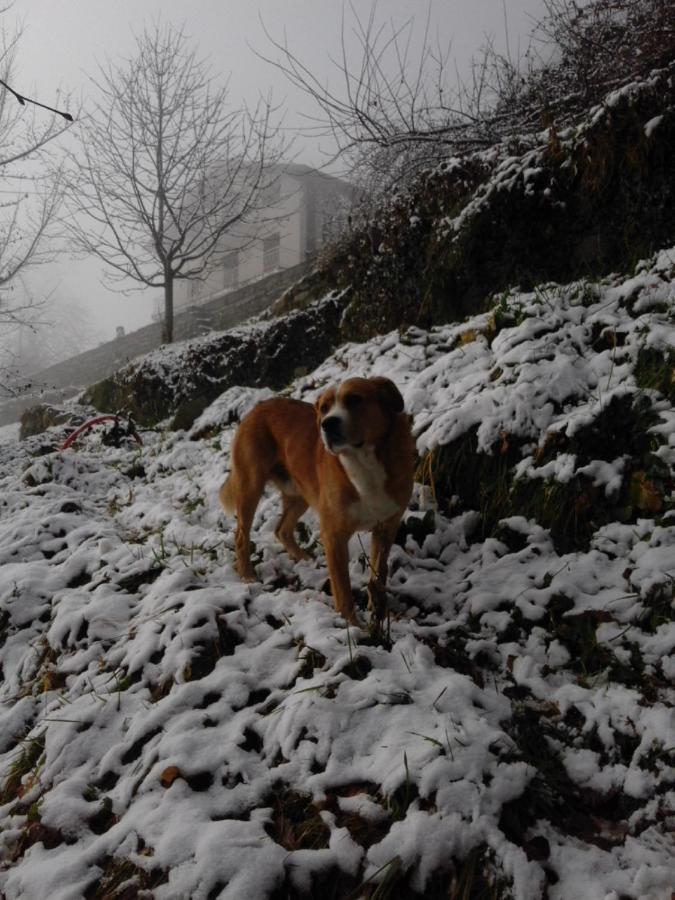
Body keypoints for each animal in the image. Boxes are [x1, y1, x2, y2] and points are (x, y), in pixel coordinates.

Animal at [219, 376, 414, 624]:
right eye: (324, 408)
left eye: (354, 399)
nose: (328, 424)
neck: (363, 462)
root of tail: (257, 407)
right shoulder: (334, 536)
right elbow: (342, 589)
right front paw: (352, 625)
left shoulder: (386, 527)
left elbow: (378, 575)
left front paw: (377, 610)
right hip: (250, 486)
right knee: (241, 535)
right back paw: (247, 574)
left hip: (299, 493)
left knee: (282, 529)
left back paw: (304, 558)